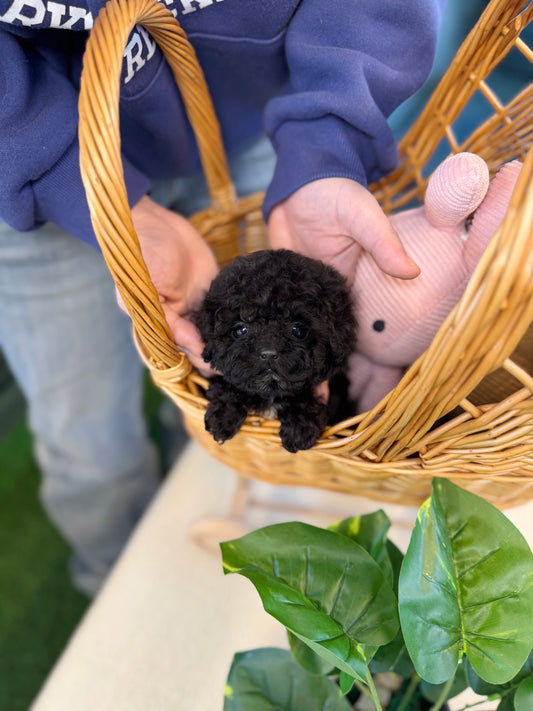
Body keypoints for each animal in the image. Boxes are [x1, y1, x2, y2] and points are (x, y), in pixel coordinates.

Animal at [189, 248, 356, 454]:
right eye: (240, 330)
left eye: (298, 330)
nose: (268, 354)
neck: (270, 394)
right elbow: (231, 383)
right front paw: (222, 416)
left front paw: (299, 427)